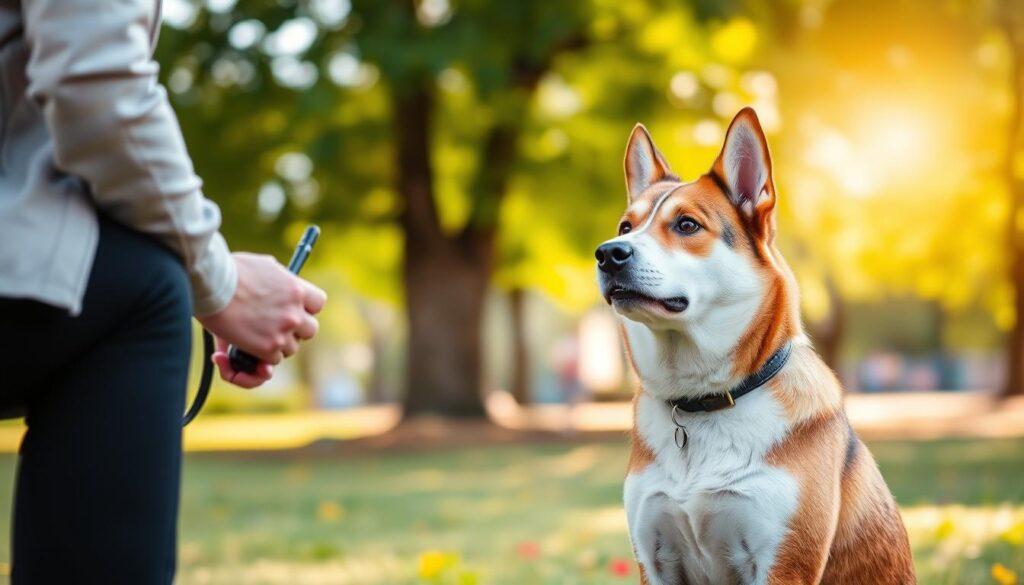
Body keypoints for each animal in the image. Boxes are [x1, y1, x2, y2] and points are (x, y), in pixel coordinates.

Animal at [598, 107, 917, 581]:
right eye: (625, 227)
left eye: (687, 225)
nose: (607, 253)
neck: (701, 402)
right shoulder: (654, 558)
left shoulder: (784, 562)